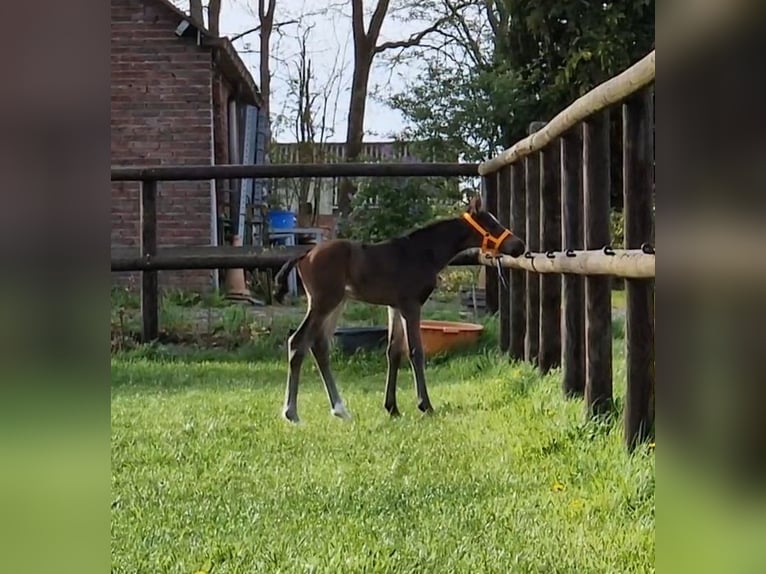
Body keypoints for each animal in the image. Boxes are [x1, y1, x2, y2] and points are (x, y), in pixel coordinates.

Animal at [272, 196, 528, 426]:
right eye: (492, 224)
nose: (519, 245)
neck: (422, 252)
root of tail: (304, 255)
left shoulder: (394, 307)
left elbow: (393, 351)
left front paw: (392, 408)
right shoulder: (411, 305)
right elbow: (415, 351)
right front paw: (425, 405)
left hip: (336, 304)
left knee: (319, 345)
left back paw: (340, 410)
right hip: (323, 302)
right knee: (298, 342)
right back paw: (292, 413)